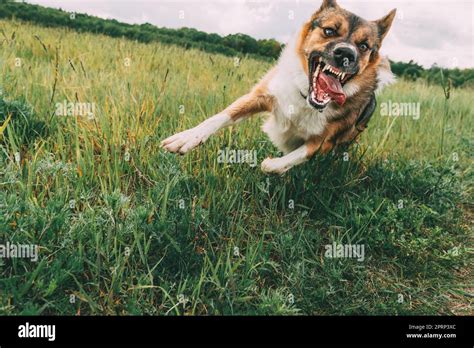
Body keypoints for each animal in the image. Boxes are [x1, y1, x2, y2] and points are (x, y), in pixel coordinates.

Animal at [162, 0, 396, 174]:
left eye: (363, 46)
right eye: (329, 31)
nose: (347, 54)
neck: (306, 98)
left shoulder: (324, 142)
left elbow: (284, 161)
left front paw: (273, 163)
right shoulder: (261, 95)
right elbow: (221, 116)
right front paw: (186, 138)